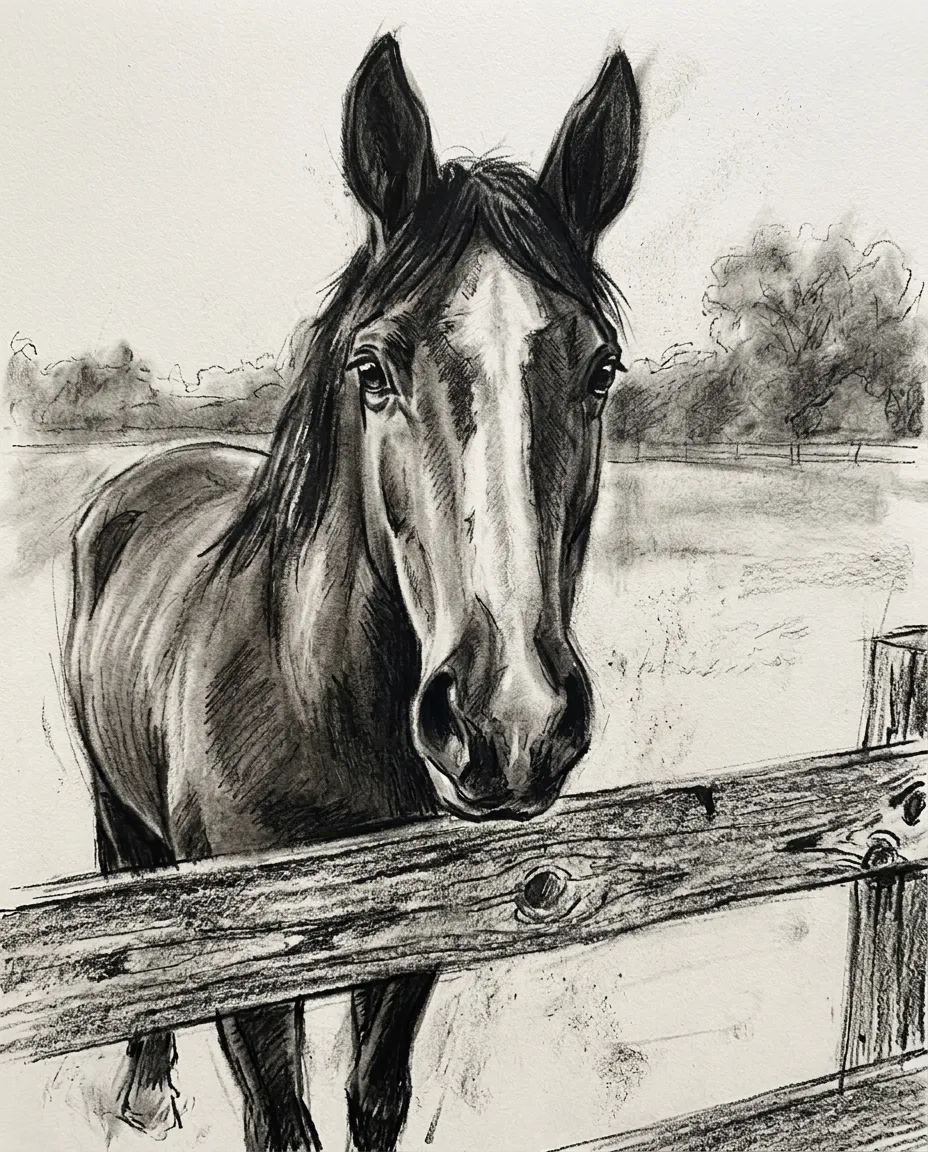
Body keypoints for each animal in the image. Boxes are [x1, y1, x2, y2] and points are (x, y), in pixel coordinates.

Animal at [63, 33, 640, 1152]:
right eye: (373, 369)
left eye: (600, 370)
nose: (511, 720)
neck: (313, 700)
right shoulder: (250, 965)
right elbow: (279, 1116)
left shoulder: (413, 933)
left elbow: (376, 1097)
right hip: (118, 811)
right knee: (132, 922)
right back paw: (146, 1090)